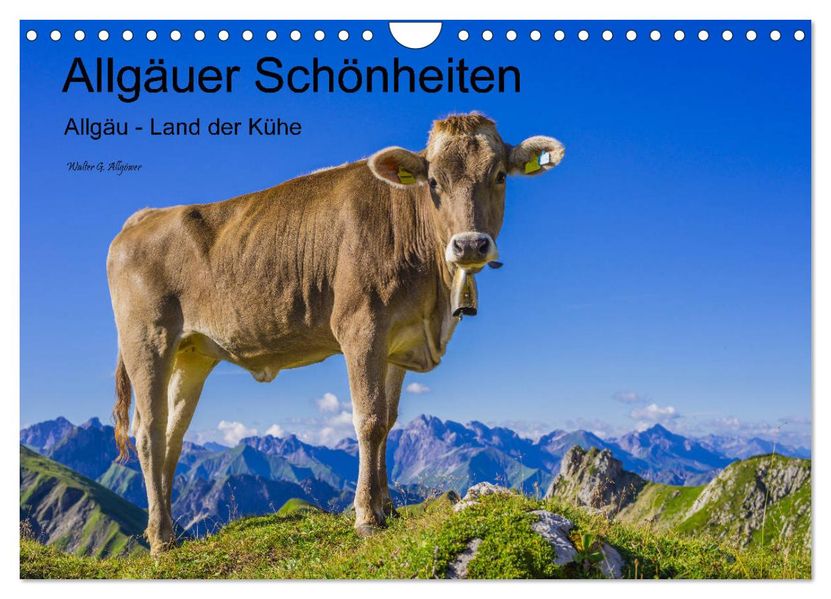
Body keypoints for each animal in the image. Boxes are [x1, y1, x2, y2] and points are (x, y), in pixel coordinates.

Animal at [106, 112, 564, 555]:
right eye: (434, 181)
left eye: (500, 175)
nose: (470, 245)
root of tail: (145, 216)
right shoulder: (361, 326)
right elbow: (369, 419)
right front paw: (366, 517)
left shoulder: (398, 340)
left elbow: (389, 420)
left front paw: (387, 508)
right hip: (147, 340)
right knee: (149, 433)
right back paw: (160, 539)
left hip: (192, 354)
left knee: (172, 435)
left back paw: (169, 532)